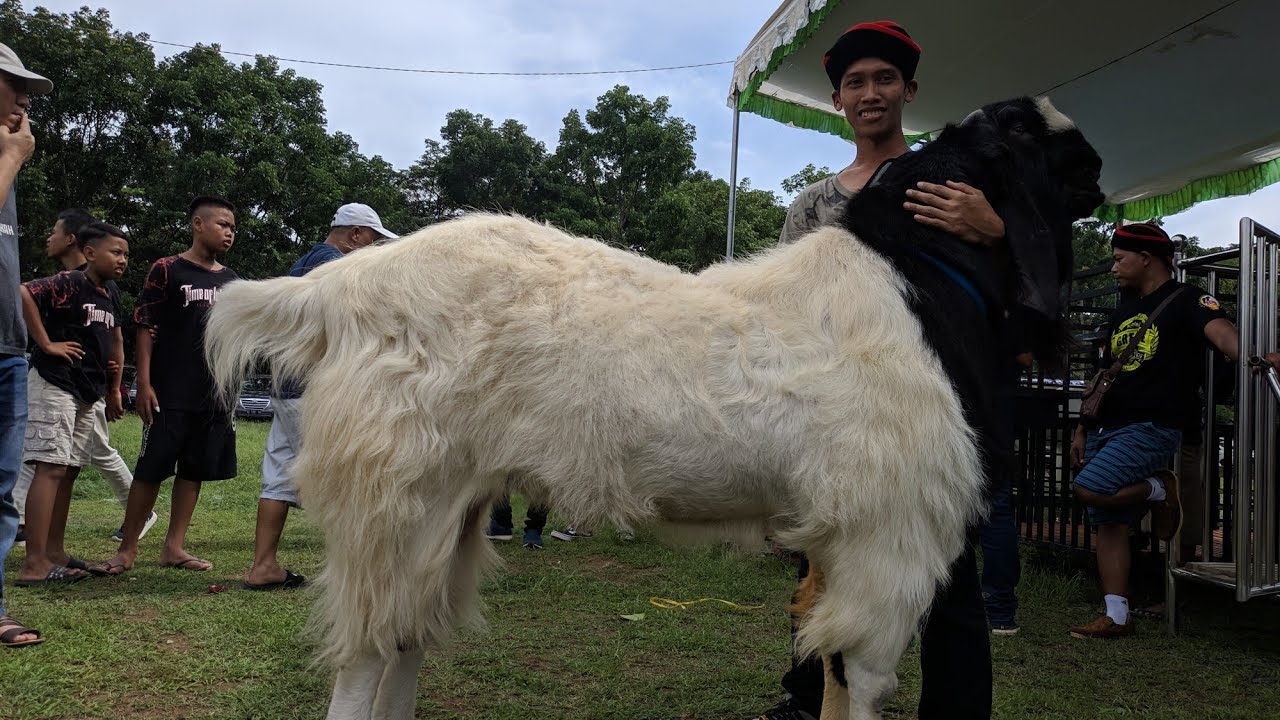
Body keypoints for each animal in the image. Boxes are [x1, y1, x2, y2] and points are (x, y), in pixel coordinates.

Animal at [203, 96, 1102, 720]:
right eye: (1025, 132)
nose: (1097, 161)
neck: (916, 281)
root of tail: (337, 289)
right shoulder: (888, 530)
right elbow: (865, 679)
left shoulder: (844, 540)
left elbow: (832, 672)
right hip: (396, 490)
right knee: (368, 649)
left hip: (444, 504)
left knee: (407, 636)